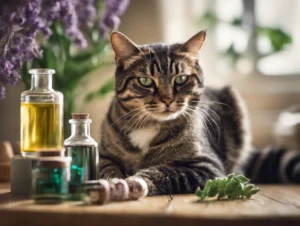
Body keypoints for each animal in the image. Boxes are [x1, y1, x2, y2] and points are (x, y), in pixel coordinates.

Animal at [99, 30, 300, 196]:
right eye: (145, 81)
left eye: (181, 78)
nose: (167, 99)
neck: (149, 125)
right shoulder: (103, 155)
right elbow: (106, 168)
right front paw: (114, 182)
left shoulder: (206, 165)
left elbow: (165, 171)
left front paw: (134, 182)